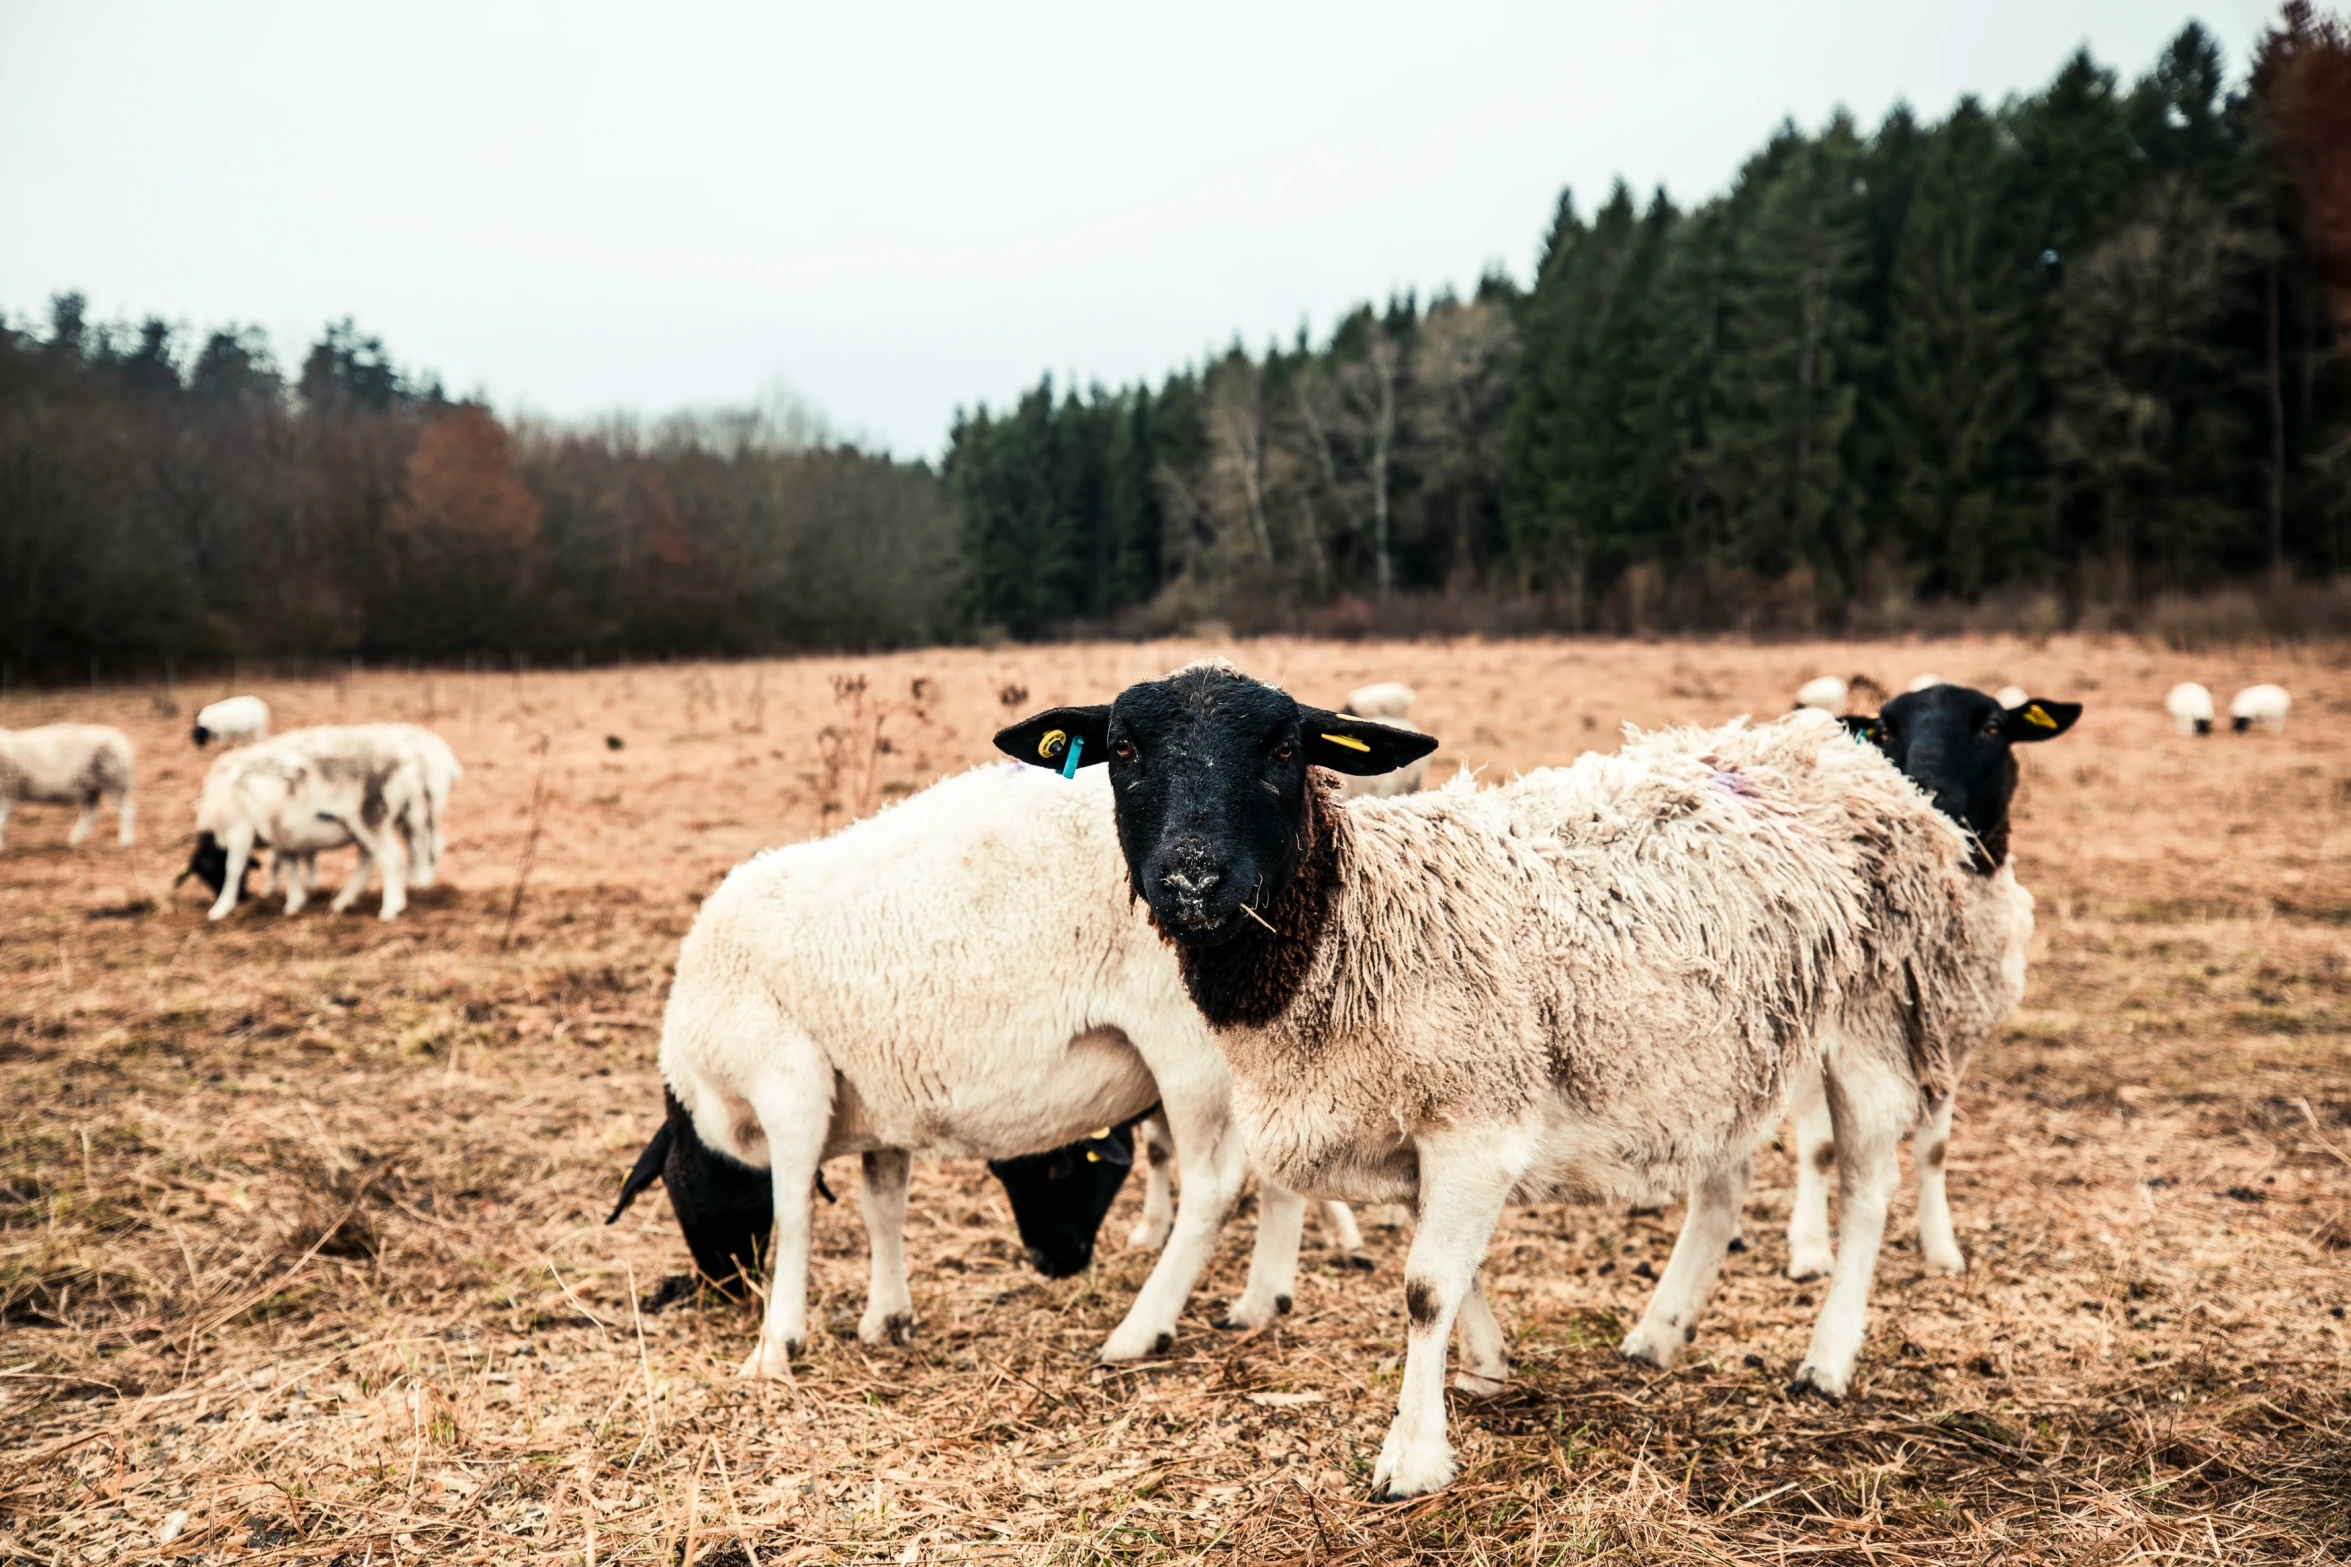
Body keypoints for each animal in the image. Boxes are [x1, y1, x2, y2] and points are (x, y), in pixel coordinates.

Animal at [0, 728, 136, 850]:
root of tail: (121, 740)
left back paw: (125, 842)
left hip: (114, 782)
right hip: (91, 789)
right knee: (91, 814)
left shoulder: (7, 792)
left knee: (127, 810)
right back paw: (74, 840)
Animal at [181, 732, 430, 925]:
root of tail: (406, 765)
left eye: (209, 872)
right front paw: (294, 903)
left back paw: (390, 909)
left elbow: (234, 868)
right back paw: (344, 901)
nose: (244, 897)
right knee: (367, 859)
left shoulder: (240, 828)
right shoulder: (280, 833)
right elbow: (288, 864)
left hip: (370, 818)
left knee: (392, 859)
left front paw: (220, 908)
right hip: (366, 825)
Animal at [644, 765, 1372, 1381]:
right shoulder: (877, 1099)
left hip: (1185, 1043)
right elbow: (882, 1205)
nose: (721, 1288)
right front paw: (887, 1316)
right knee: (1274, 1169)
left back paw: (1140, 1331)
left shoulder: (786, 1077)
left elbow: (793, 1212)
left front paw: (774, 1346)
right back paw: (1261, 1302)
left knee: (1212, 1188)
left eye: (673, 1193)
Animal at [996, 662, 2021, 1494]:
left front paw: (1412, 1455)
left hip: (1872, 1021)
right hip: (1721, 1045)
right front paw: (1484, 1371)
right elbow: (1451, 1268)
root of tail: (1845, 756)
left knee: (1866, 1187)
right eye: (1122, 749)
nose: (1192, 880)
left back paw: (1827, 1357)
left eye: (1284, 748)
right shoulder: (1426, 1122)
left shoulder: (1472, 1115)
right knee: (1721, 1187)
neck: (1352, 923)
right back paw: (1660, 1331)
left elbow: (1424, 1286)